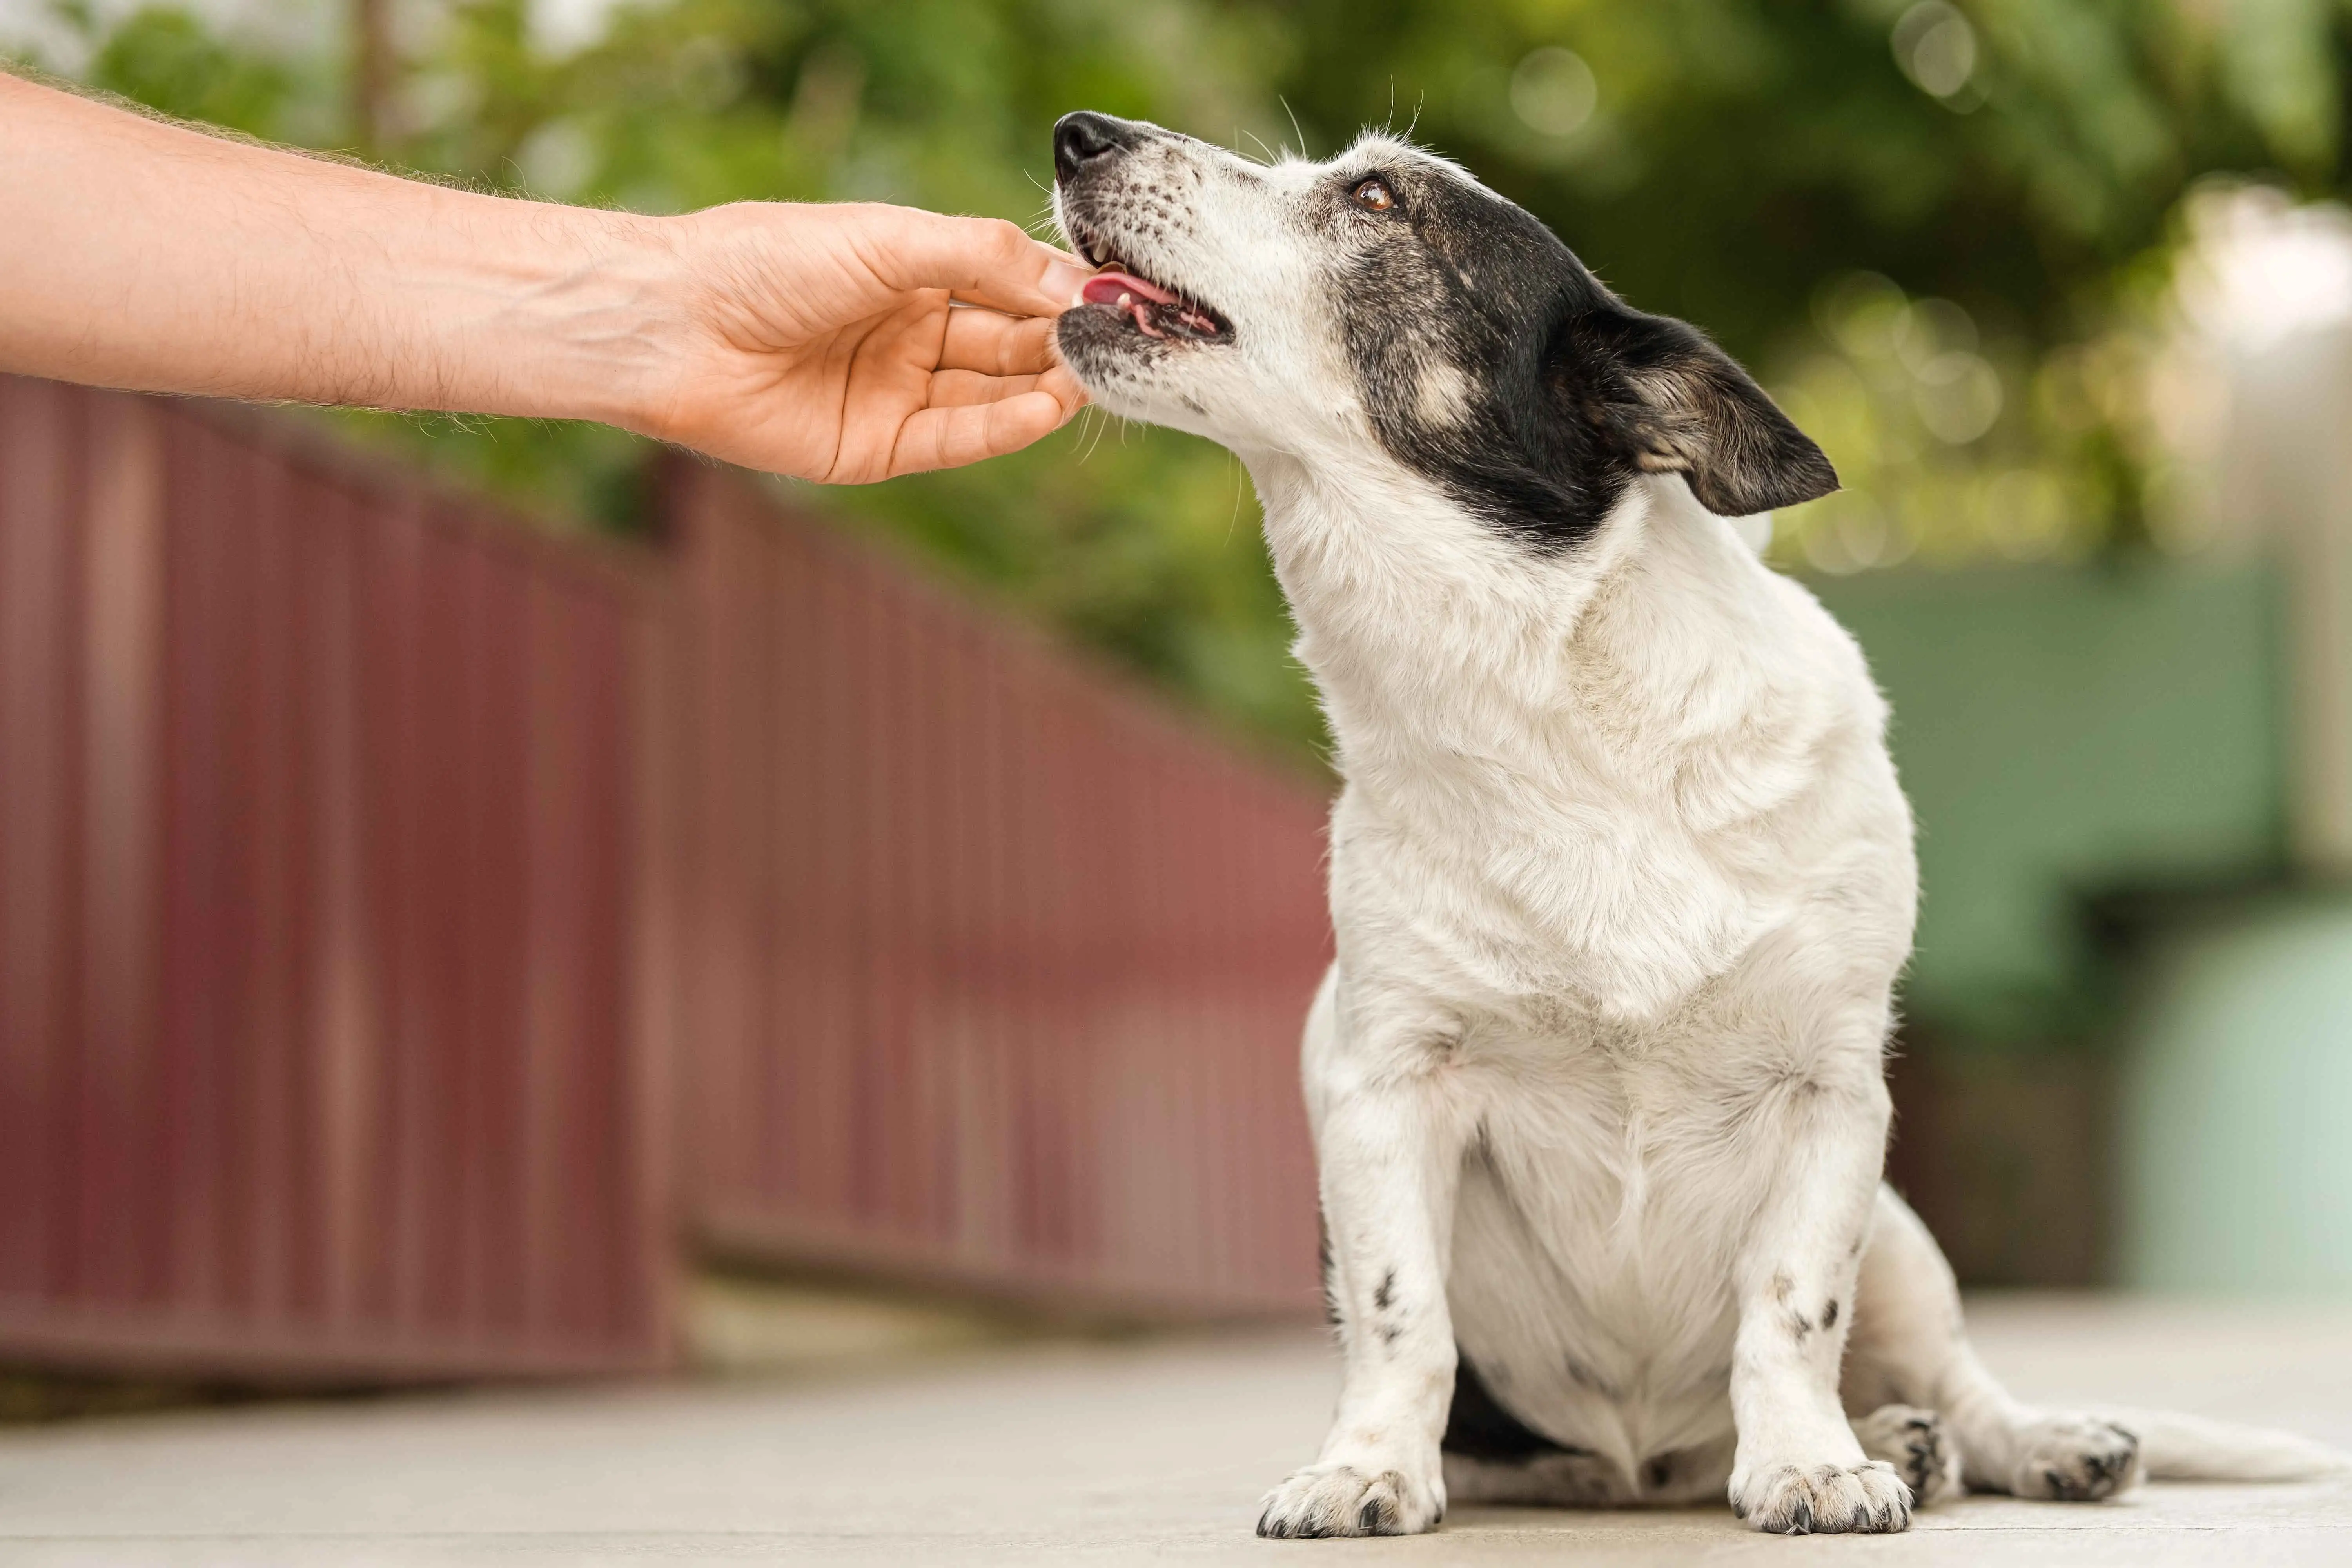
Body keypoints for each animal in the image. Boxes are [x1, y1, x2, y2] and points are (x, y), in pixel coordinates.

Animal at [1054, 113, 2352, 1542]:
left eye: (1380, 196)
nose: (1079, 133)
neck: (1551, 713)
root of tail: (1647, 1462)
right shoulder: (1390, 1089)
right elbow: (1401, 1319)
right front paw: (1369, 1468)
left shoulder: (1832, 1096)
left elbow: (1793, 1310)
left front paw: (1811, 1465)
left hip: (1904, 1234)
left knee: (1958, 1388)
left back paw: (2005, 1441)